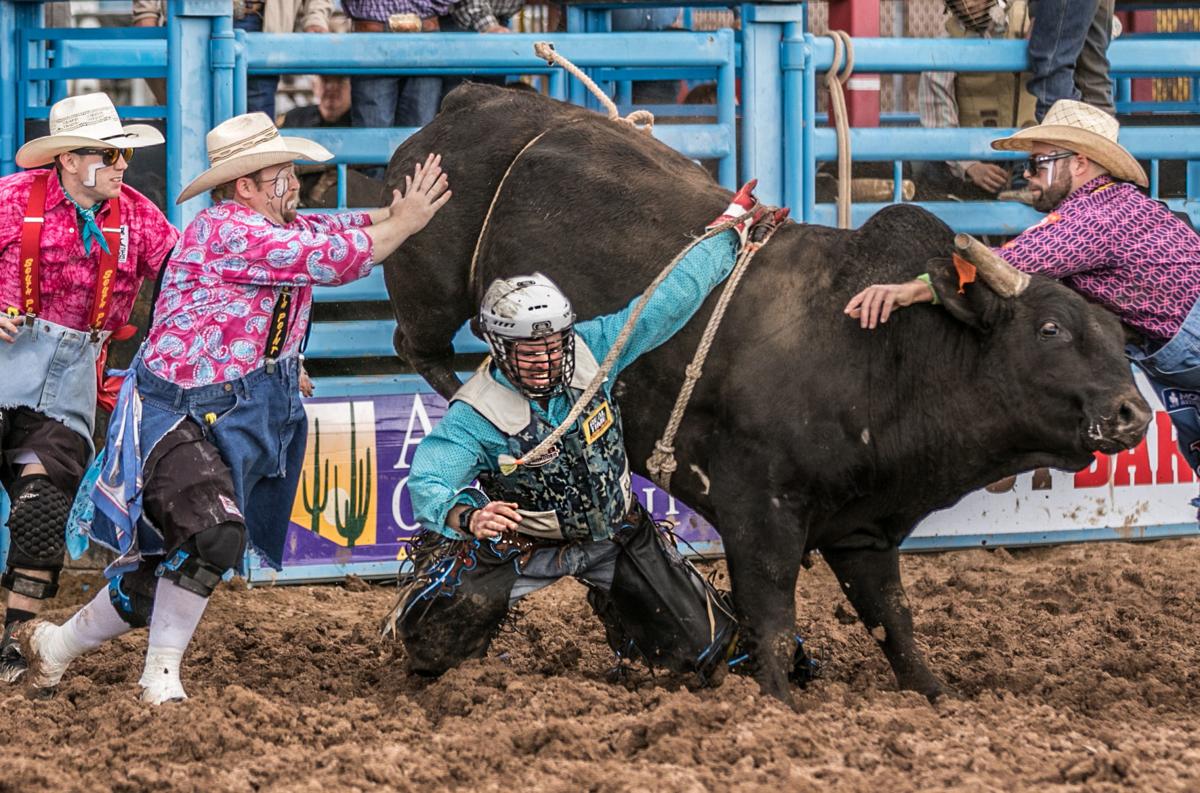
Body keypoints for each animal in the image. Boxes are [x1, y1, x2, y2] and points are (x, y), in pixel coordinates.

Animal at [384, 83, 1152, 700]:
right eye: (1050, 329)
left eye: (1118, 333)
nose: (1132, 411)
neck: (879, 351)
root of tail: (473, 100)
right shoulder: (759, 513)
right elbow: (774, 619)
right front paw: (775, 703)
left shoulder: (863, 529)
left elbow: (894, 622)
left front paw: (935, 695)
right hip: (430, 290)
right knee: (419, 349)